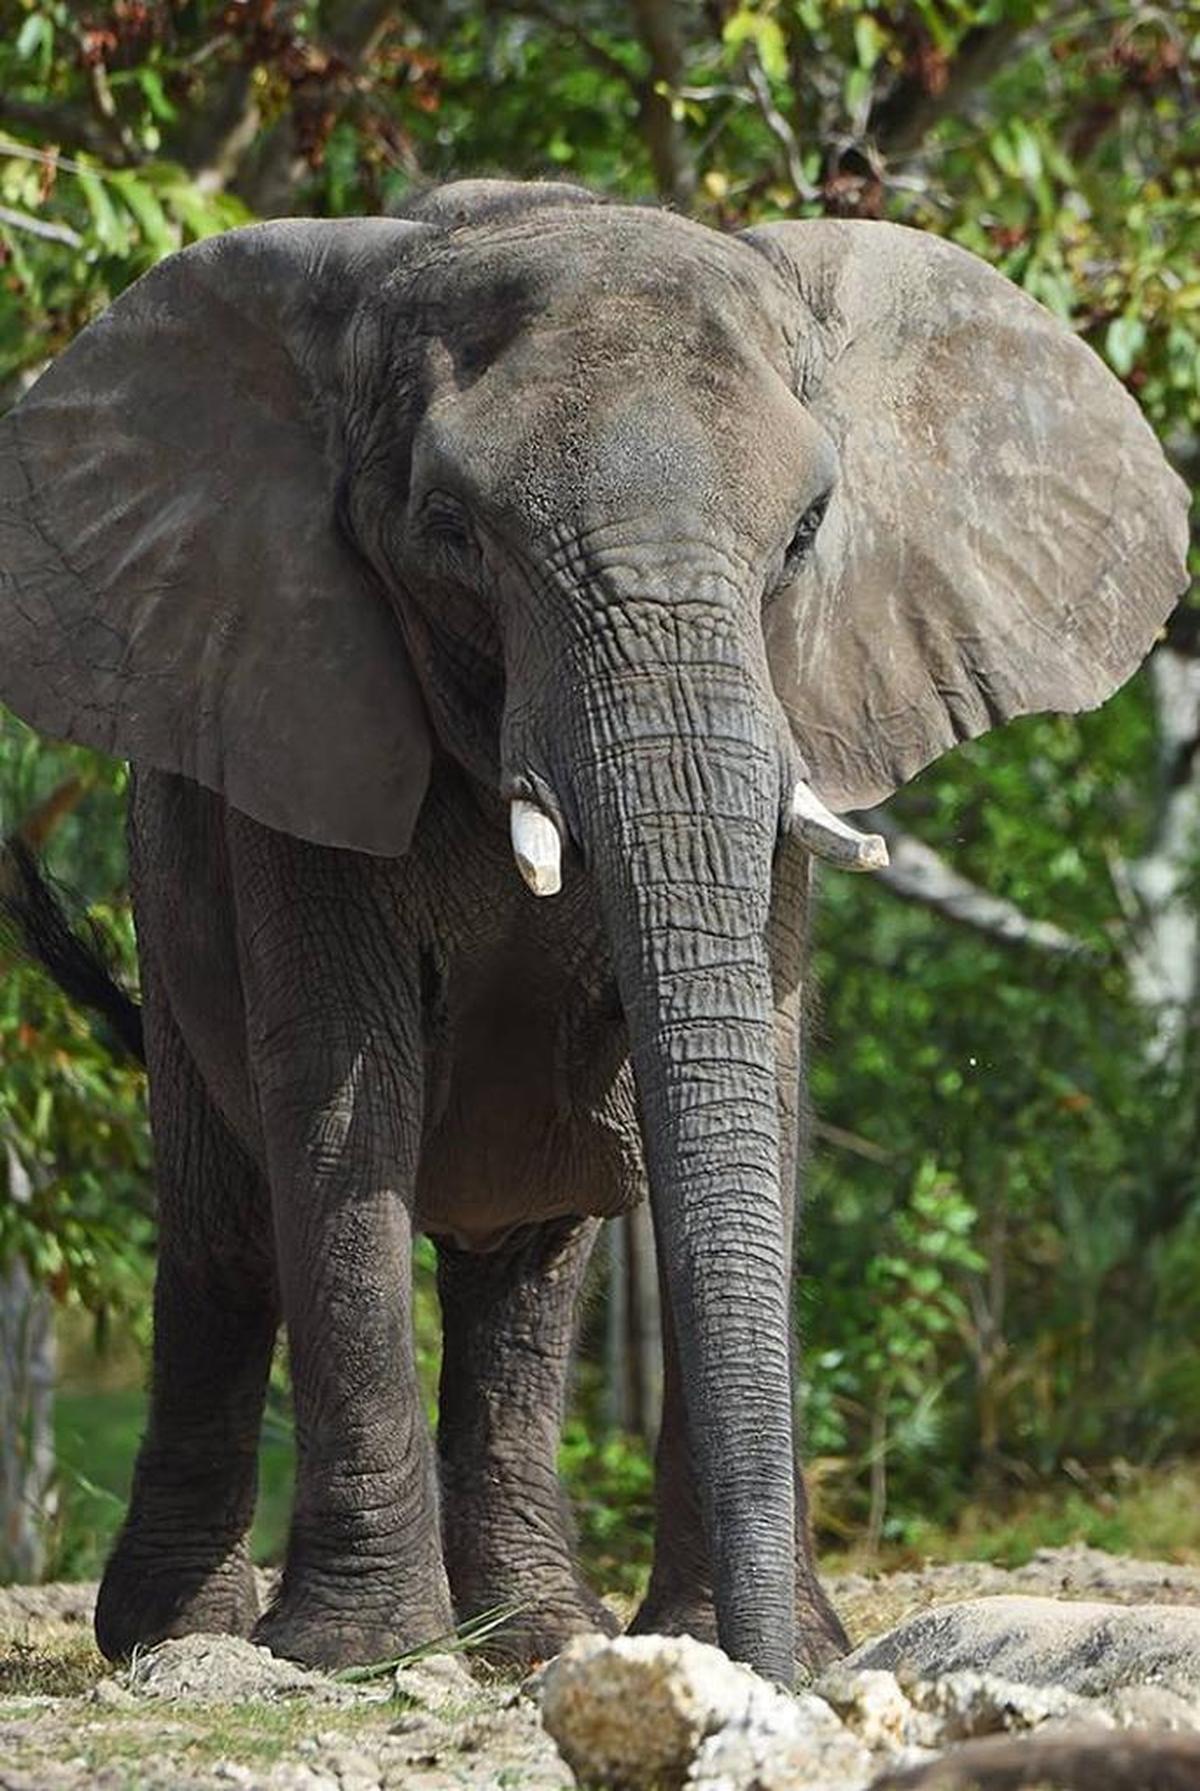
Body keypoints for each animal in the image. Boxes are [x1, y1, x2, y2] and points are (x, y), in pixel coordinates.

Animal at [0, 178, 1188, 1685]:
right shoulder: (303, 707)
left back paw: (534, 1635)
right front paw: (360, 1657)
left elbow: (763, 1081)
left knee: (525, 1267)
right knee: (224, 1238)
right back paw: (188, 1637)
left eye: (808, 529)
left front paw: (713, 1643)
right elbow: (342, 1096)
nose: (783, 1670)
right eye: (451, 528)